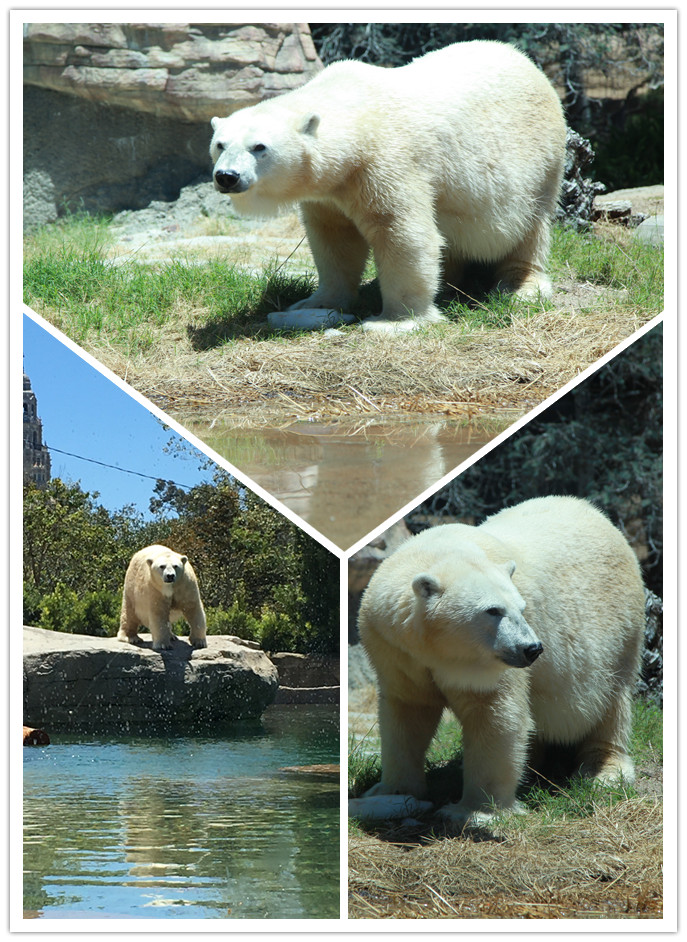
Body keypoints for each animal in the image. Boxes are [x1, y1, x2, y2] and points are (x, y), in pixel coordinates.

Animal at [210, 41, 564, 336]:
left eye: (259, 147)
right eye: (219, 144)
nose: (227, 176)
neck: (355, 117)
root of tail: (525, 61)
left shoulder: (385, 164)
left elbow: (400, 233)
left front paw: (395, 321)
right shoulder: (329, 190)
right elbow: (333, 239)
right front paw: (314, 302)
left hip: (539, 165)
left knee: (526, 230)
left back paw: (521, 284)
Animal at [358, 494, 648, 824]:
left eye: (520, 608)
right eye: (493, 610)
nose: (532, 648)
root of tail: (597, 514)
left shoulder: (488, 665)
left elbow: (493, 714)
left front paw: (474, 810)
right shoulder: (397, 650)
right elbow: (407, 712)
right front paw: (391, 792)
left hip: (617, 633)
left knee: (608, 702)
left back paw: (604, 771)